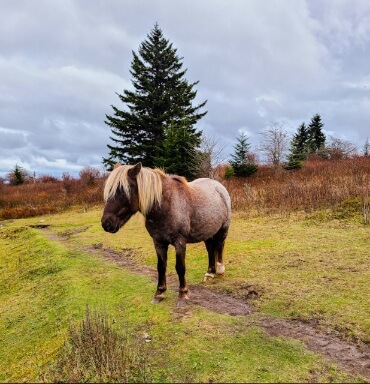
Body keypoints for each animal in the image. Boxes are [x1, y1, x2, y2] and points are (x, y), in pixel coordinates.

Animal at [101, 163, 231, 306]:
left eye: (124, 189)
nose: (106, 223)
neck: (165, 205)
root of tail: (219, 186)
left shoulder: (180, 242)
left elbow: (180, 267)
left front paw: (183, 294)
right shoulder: (159, 242)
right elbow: (161, 267)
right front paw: (159, 293)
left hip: (223, 229)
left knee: (220, 246)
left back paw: (220, 271)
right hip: (207, 232)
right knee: (210, 249)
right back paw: (210, 273)